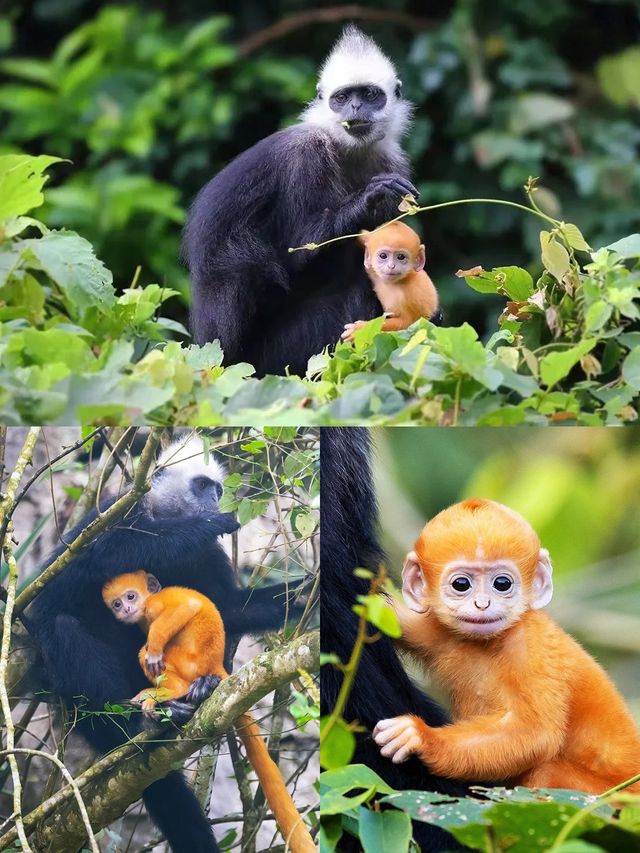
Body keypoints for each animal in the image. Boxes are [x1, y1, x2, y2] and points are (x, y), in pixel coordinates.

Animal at [101, 568, 316, 852]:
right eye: (117, 603)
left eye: (131, 596)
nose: (126, 608)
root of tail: (218, 666)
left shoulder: (155, 605)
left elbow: (185, 610)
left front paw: (155, 650)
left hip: (188, 660)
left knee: (148, 652)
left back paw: (170, 691)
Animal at [372, 496, 640, 796]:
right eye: (461, 584)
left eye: (502, 583)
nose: (483, 604)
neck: (487, 645)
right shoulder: (437, 631)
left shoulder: (531, 649)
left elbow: (537, 733)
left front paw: (420, 736)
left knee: (546, 772)